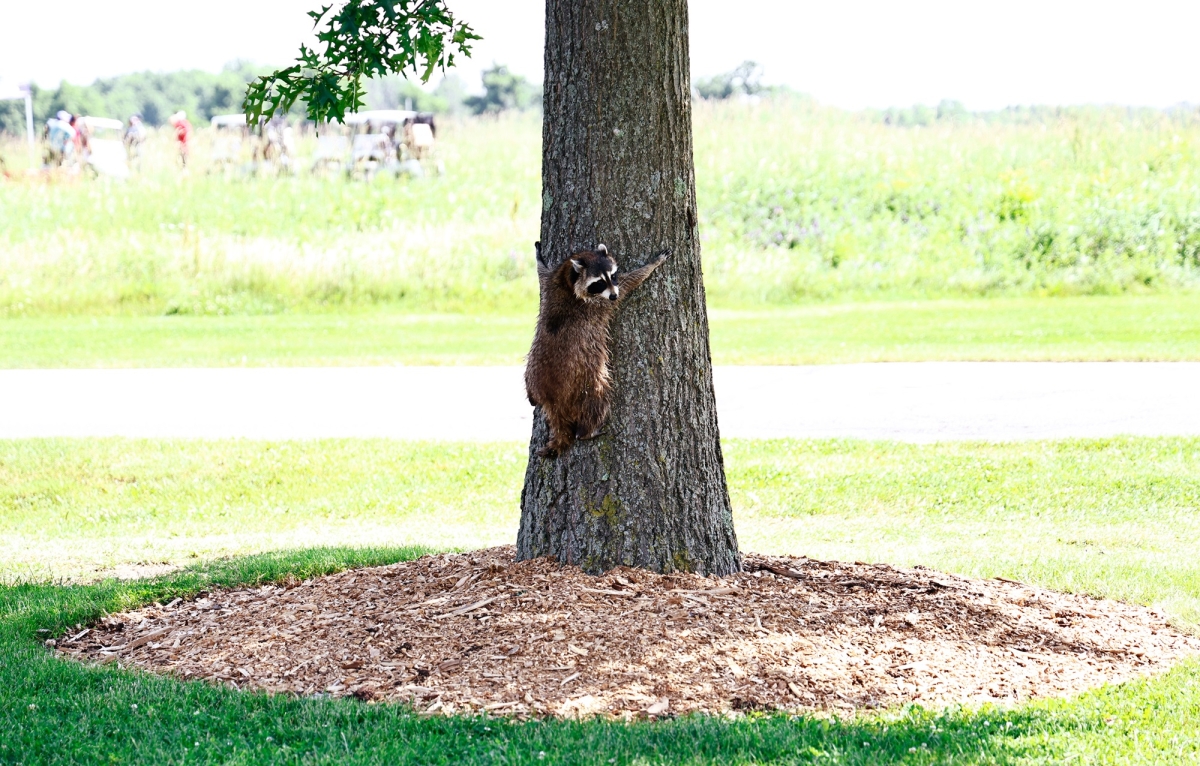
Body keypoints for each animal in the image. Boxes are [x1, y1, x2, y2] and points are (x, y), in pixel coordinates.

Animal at [528, 241, 676, 456]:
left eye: (612, 276)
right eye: (598, 283)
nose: (613, 295)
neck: (568, 281)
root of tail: (552, 398)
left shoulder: (551, 284)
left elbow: (542, 273)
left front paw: (539, 258)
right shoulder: (598, 303)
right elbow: (629, 283)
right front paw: (651, 265)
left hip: (532, 378)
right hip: (586, 381)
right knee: (597, 400)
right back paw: (586, 431)